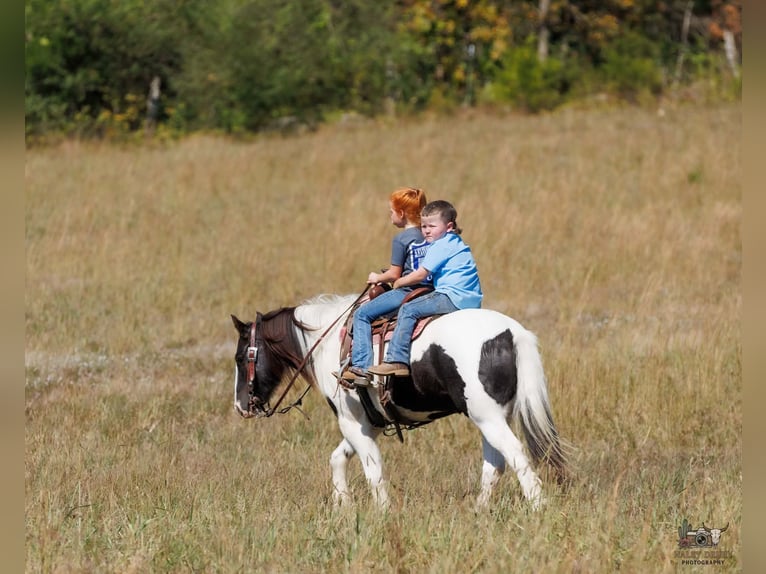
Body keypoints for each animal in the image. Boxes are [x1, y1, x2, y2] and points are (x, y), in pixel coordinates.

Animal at [231, 292, 568, 510]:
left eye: (240, 357)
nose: (240, 407)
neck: (328, 342)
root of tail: (513, 333)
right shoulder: (370, 424)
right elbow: (338, 458)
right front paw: (343, 506)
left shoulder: (352, 422)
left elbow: (373, 471)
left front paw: (381, 514)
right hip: (494, 416)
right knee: (495, 463)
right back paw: (479, 512)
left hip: (487, 417)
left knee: (515, 456)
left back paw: (538, 508)